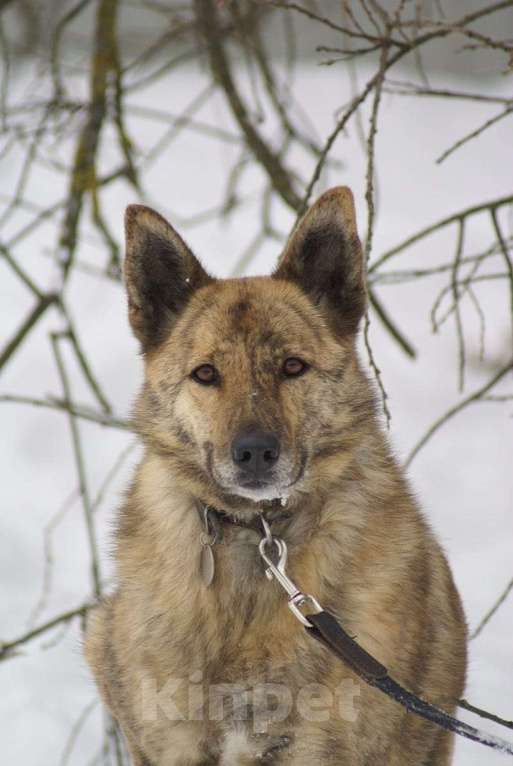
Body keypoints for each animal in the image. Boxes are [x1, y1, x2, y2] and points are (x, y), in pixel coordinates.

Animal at [85, 188, 468, 766]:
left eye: (292, 367)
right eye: (205, 374)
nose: (255, 453)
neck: (257, 539)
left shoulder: (317, 745)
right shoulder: (170, 741)